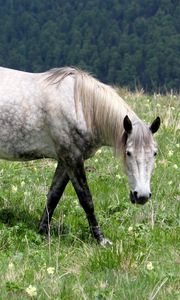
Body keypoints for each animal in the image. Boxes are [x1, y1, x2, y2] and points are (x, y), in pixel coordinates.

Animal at [0, 67, 160, 245]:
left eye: (154, 153)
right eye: (128, 152)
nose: (142, 196)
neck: (82, 108)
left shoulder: (65, 161)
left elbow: (54, 195)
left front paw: (42, 231)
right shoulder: (73, 158)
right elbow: (86, 199)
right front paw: (100, 239)